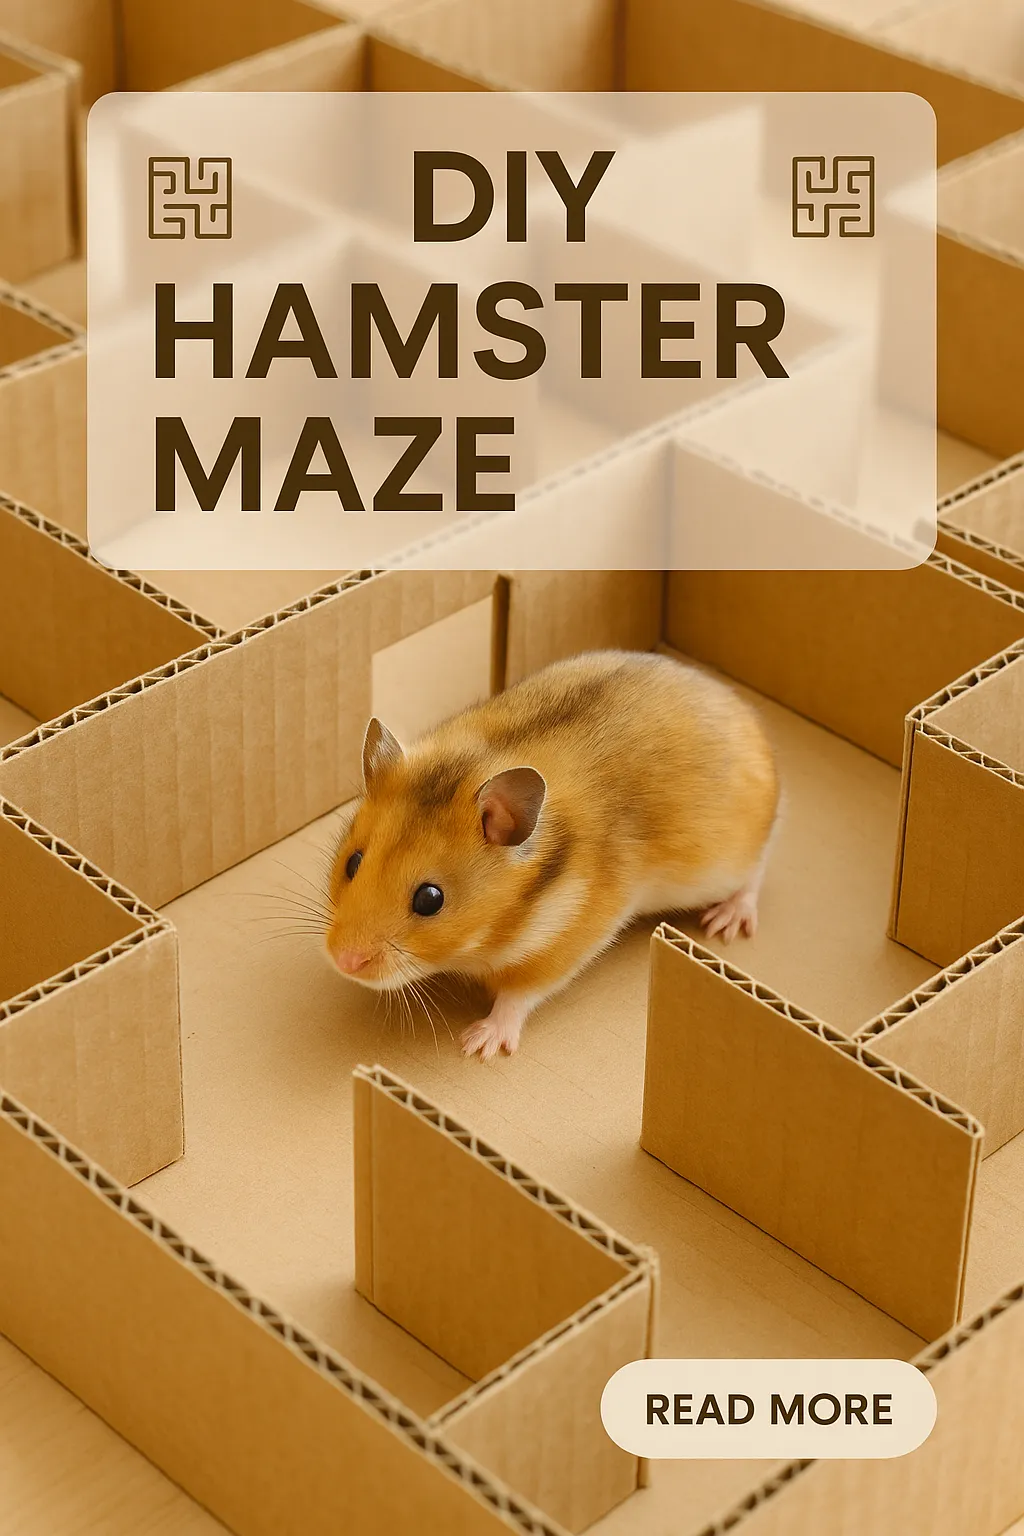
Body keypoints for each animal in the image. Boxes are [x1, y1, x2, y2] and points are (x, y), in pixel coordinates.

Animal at [325, 649, 779, 1060]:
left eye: (430, 899)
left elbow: (519, 994)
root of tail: (745, 713)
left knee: (757, 871)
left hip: (725, 863)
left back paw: (727, 923)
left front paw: (478, 1046)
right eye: (353, 862)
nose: (343, 963)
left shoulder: (566, 941)